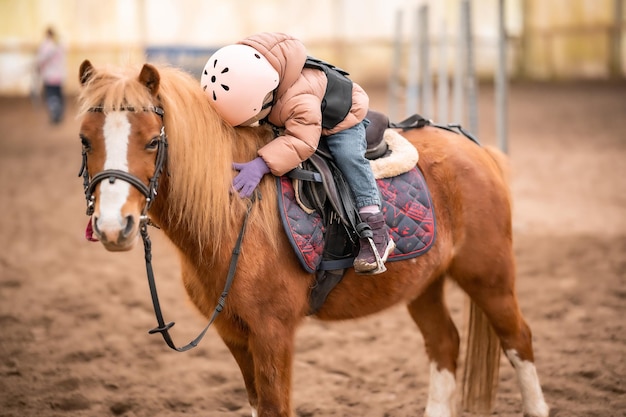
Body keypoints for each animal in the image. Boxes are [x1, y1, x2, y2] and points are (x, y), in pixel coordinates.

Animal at [77, 59, 544, 416]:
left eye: (153, 141)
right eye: (85, 139)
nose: (114, 226)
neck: (234, 214)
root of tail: (477, 150)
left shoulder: (273, 333)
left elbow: (276, 407)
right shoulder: (234, 333)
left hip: (489, 276)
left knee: (519, 341)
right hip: (424, 283)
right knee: (444, 343)